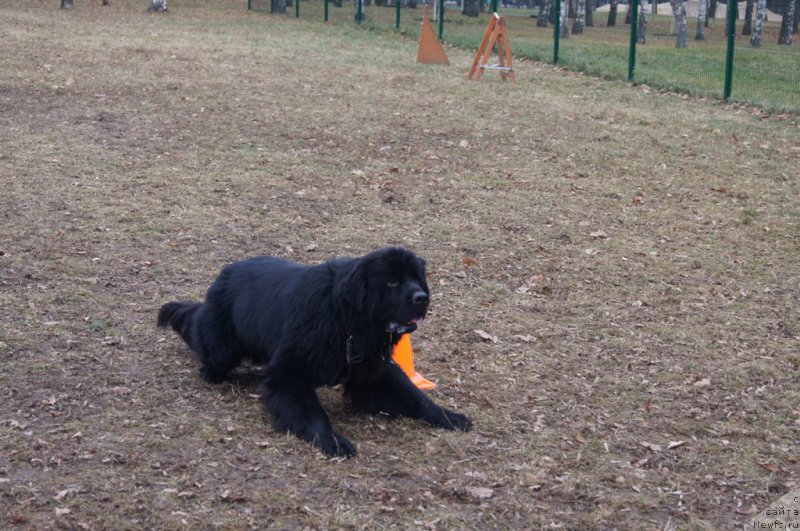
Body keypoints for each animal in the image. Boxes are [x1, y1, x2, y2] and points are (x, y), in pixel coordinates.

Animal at [156, 246, 468, 458]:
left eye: (417, 278)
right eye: (391, 281)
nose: (422, 297)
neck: (346, 319)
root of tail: (226, 272)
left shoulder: (374, 372)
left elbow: (415, 397)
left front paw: (449, 416)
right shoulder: (288, 374)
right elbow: (312, 412)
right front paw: (332, 440)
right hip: (223, 345)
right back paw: (209, 371)